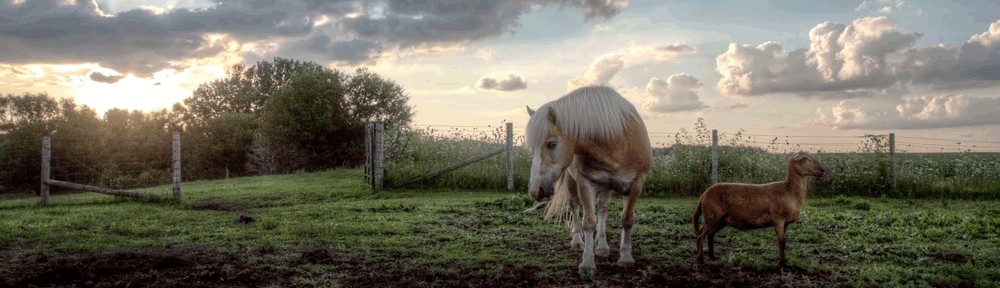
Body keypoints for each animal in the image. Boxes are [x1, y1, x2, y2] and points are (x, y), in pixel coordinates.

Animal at [524, 86, 656, 276]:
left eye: (552, 144)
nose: (535, 191)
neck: (616, 142)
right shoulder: (585, 183)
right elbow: (588, 222)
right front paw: (587, 263)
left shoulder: (637, 183)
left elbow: (627, 219)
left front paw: (625, 258)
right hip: (572, 182)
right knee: (574, 207)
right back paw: (578, 242)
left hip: (607, 187)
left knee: (602, 209)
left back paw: (601, 246)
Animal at [692, 152, 824, 266]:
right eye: (806, 159)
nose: (823, 170)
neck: (789, 190)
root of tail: (704, 194)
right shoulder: (778, 219)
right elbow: (781, 241)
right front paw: (782, 263)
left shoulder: (785, 222)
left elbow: (784, 241)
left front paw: (783, 261)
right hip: (712, 216)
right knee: (700, 235)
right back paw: (700, 259)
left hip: (719, 220)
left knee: (709, 235)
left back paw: (712, 257)